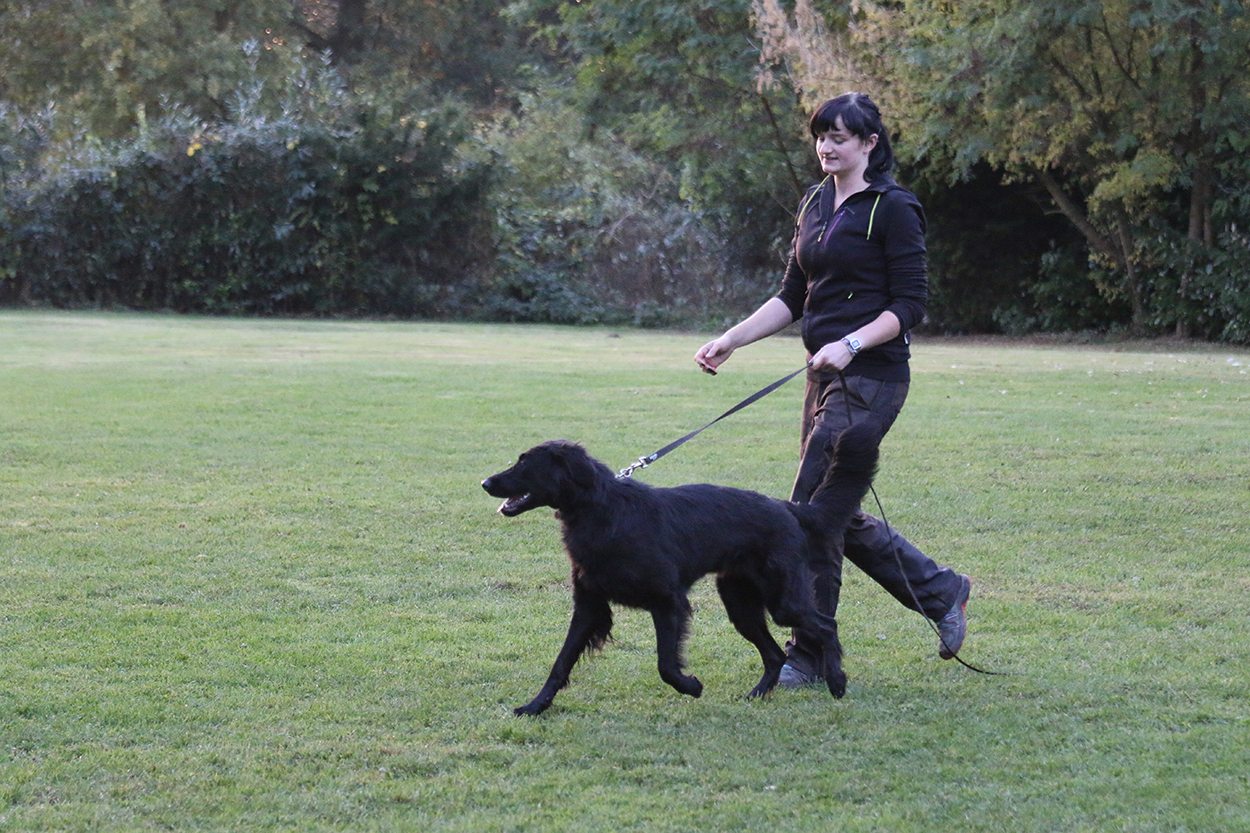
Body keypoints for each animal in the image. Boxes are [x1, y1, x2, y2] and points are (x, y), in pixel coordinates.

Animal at [481, 419, 882, 716]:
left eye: (524, 463)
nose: (484, 482)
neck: (604, 512)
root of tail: (788, 507)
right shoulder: (589, 606)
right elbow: (560, 662)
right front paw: (535, 706)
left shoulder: (669, 602)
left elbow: (666, 665)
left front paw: (691, 686)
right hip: (740, 605)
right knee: (775, 653)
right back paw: (756, 696)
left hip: (782, 602)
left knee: (825, 625)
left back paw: (837, 681)